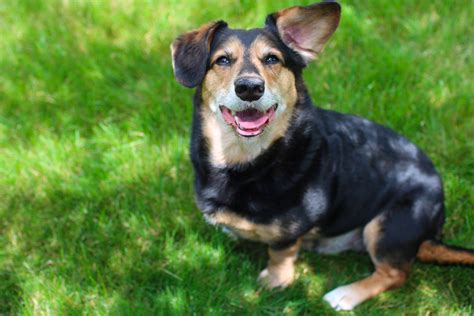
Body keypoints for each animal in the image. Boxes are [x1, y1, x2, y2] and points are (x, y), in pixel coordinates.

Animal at [171, 0, 474, 312]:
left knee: (395, 273)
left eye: (272, 59)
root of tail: (435, 228)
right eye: (222, 60)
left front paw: (275, 281)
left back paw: (345, 295)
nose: (250, 88)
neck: (250, 161)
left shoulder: (289, 233)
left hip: (388, 224)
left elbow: (280, 253)